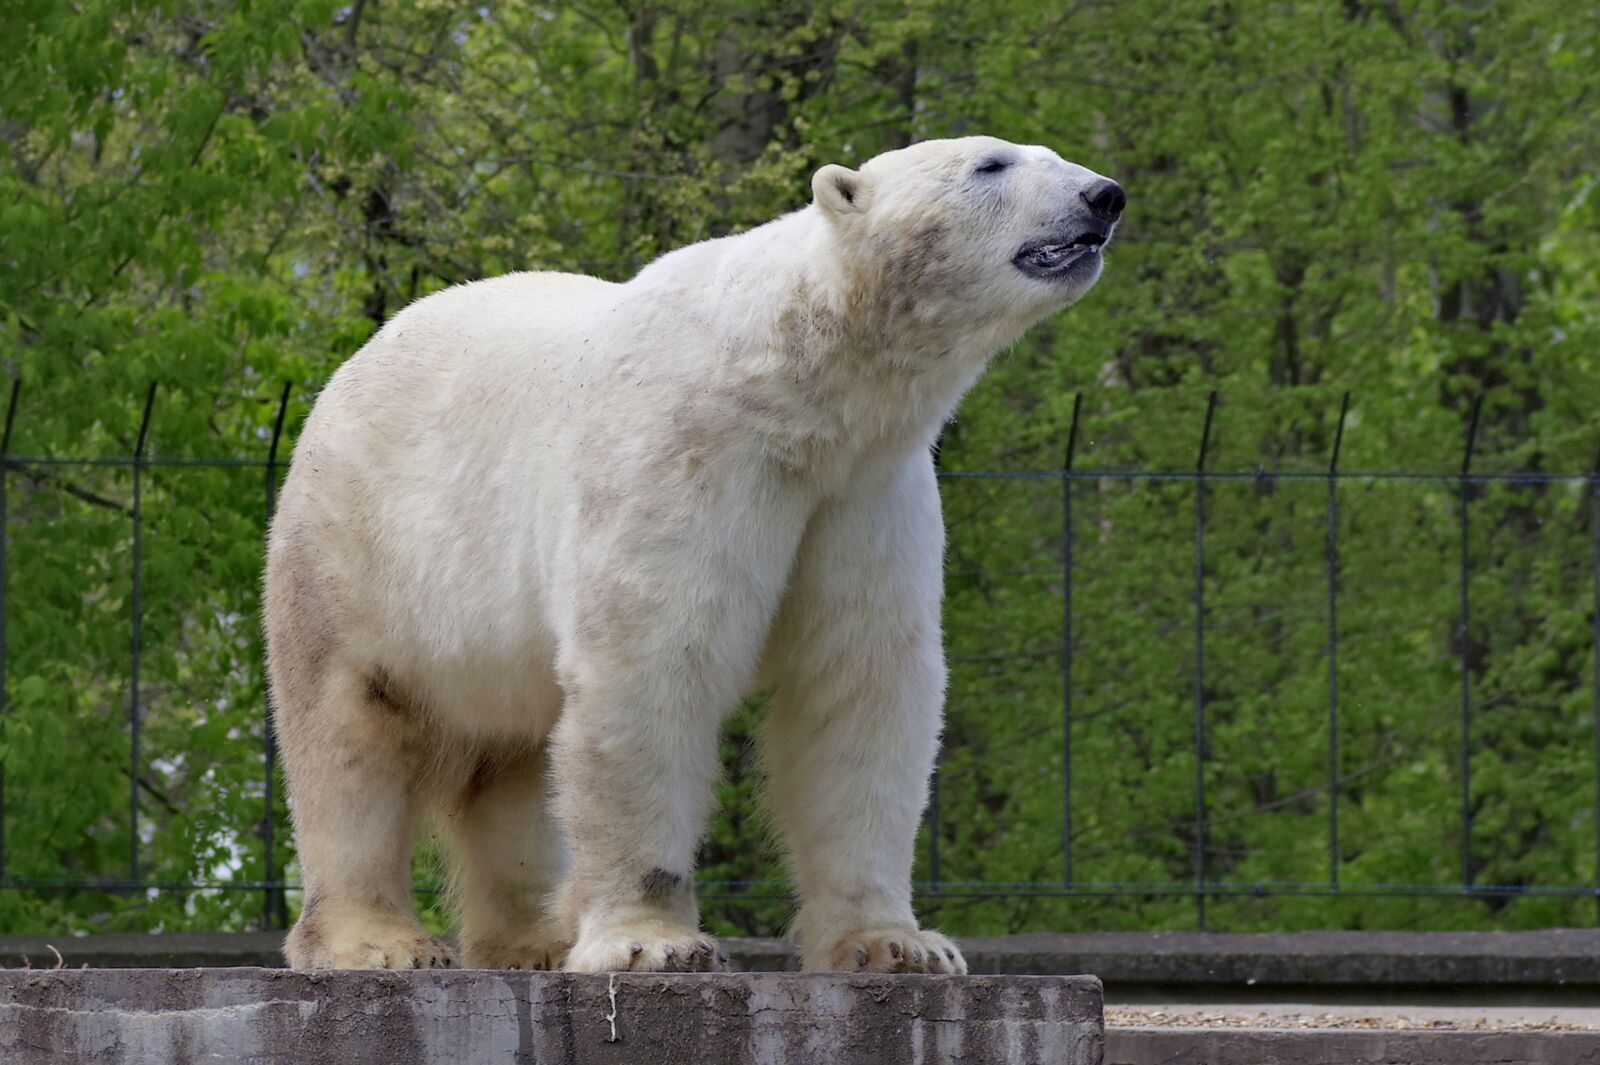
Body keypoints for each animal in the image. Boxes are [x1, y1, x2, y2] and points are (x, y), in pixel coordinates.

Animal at [263, 135, 1123, 974]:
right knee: (349, 736)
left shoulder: (863, 492)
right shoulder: (684, 457)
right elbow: (653, 666)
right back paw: (378, 940)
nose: (1104, 195)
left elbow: (859, 681)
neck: (796, 388)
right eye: (991, 163)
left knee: (512, 760)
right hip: (355, 556)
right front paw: (653, 940)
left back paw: (533, 941)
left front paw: (896, 942)